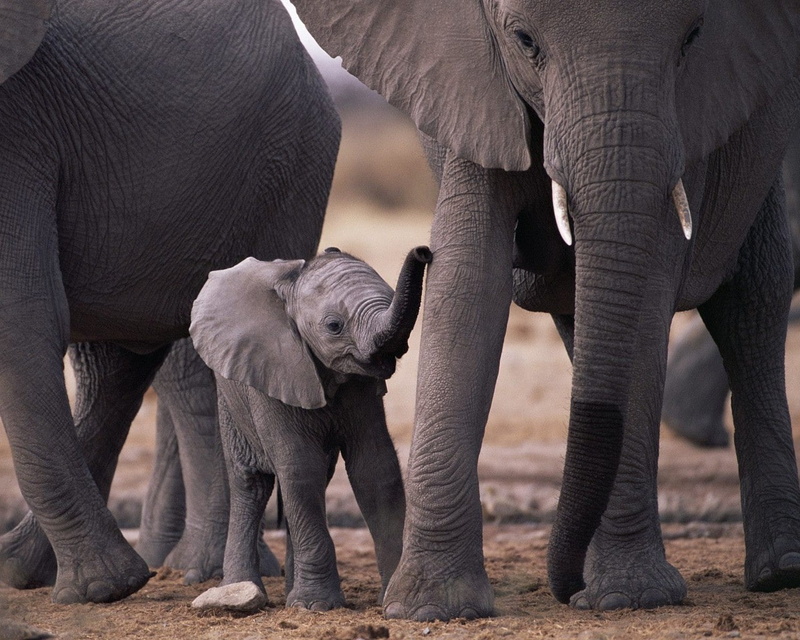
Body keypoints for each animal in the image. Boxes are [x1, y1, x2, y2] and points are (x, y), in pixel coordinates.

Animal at [0, 0, 339, 604]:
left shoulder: (18, 127)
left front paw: (104, 591)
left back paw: (171, 578)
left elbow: (20, 318)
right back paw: (26, 570)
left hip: (289, 165)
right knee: (113, 364)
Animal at [189, 246, 430, 612]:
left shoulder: (361, 387)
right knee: (252, 484)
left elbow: (376, 469)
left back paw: (291, 592)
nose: (423, 251)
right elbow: (300, 468)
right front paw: (316, 606)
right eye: (334, 326)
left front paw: (389, 597)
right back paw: (241, 589)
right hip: (230, 400)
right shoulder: (273, 368)